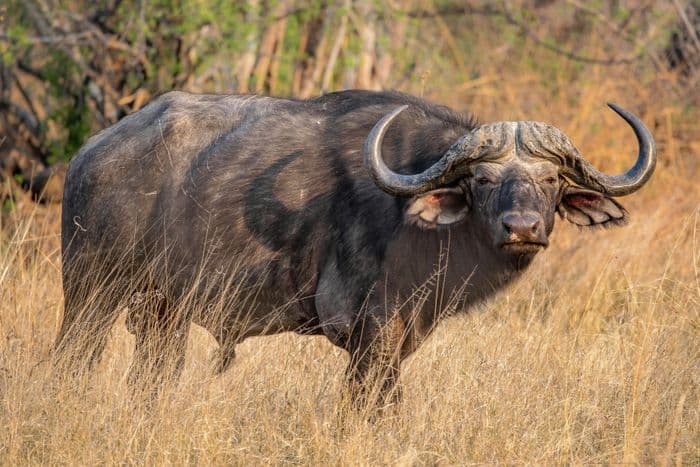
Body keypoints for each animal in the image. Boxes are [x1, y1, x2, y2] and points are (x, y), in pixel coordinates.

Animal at [55, 90, 656, 404]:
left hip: (163, 317)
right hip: (90, 296)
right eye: (483, 180)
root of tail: (90, 154)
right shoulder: (369, 337)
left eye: (551, 180)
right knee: (74, 359)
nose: (522, 227)